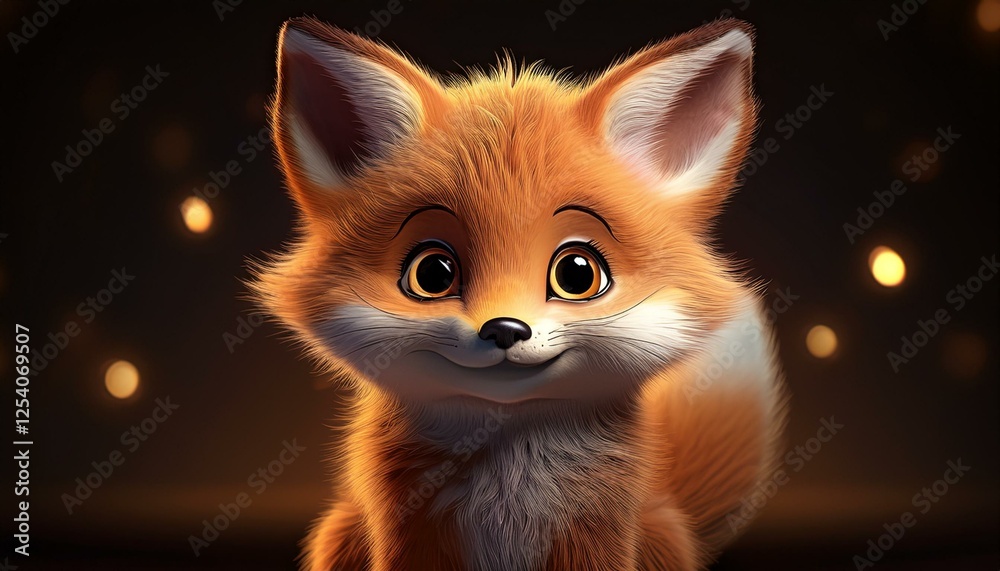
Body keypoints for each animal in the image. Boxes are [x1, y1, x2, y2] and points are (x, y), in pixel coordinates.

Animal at [252, 16, 787, 571]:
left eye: (577, 273)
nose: (505, 329)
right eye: (432, 274)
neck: (508, 482)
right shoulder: (410, 532)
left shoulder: (594, 536)